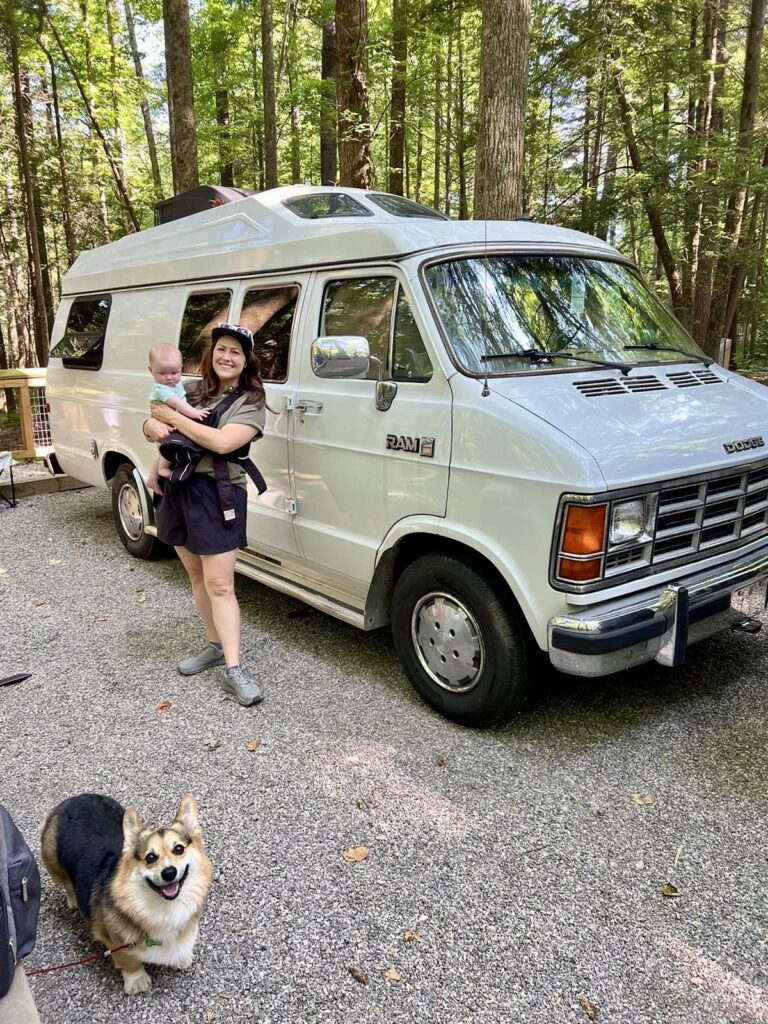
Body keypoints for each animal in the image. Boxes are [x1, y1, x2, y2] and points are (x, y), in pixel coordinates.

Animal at [40, 790, 211, 991]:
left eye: (178, 849)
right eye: (150, 857)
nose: (169, 872)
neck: (165, 908)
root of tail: (74, 798)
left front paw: (182, 958)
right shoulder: (115, 942)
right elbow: (129, 961)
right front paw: (137, 981)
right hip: (53, 864)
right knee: (66, 884)